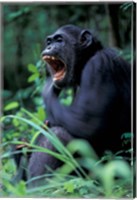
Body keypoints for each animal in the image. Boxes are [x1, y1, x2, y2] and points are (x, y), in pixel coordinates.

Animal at [27, 25, 131, 186]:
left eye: (59, 40)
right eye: (49, 42)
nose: (49, 47)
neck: (85, 62)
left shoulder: (99, 66)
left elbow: (85, 123)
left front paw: (48, 88)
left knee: (59, 134)